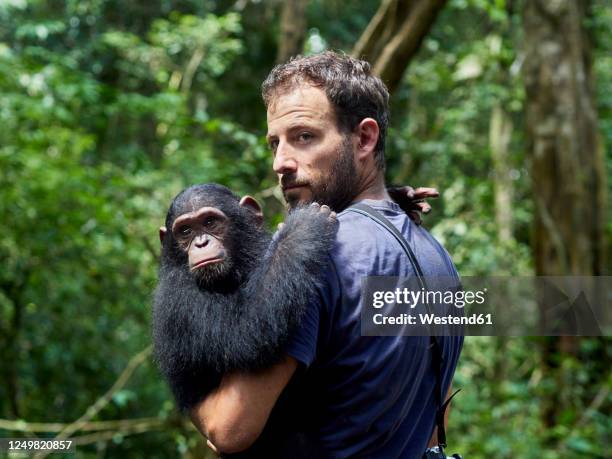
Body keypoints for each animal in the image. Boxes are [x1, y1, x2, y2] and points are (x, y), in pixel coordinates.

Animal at [151, 182, 338, 456]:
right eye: (185, 231)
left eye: (210, 222)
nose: (201, 243)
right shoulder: (177, 299)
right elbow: (246, 328)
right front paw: (303, 228)